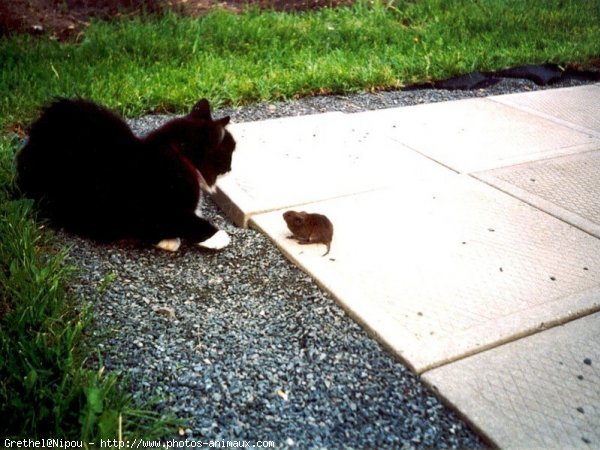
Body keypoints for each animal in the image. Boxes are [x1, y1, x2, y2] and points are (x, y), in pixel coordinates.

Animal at [15, 97, 236, 251]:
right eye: (230, 152)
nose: (232, 168)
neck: (179, 157)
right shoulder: (157, 207)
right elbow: (188, 221)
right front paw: (217, 237)